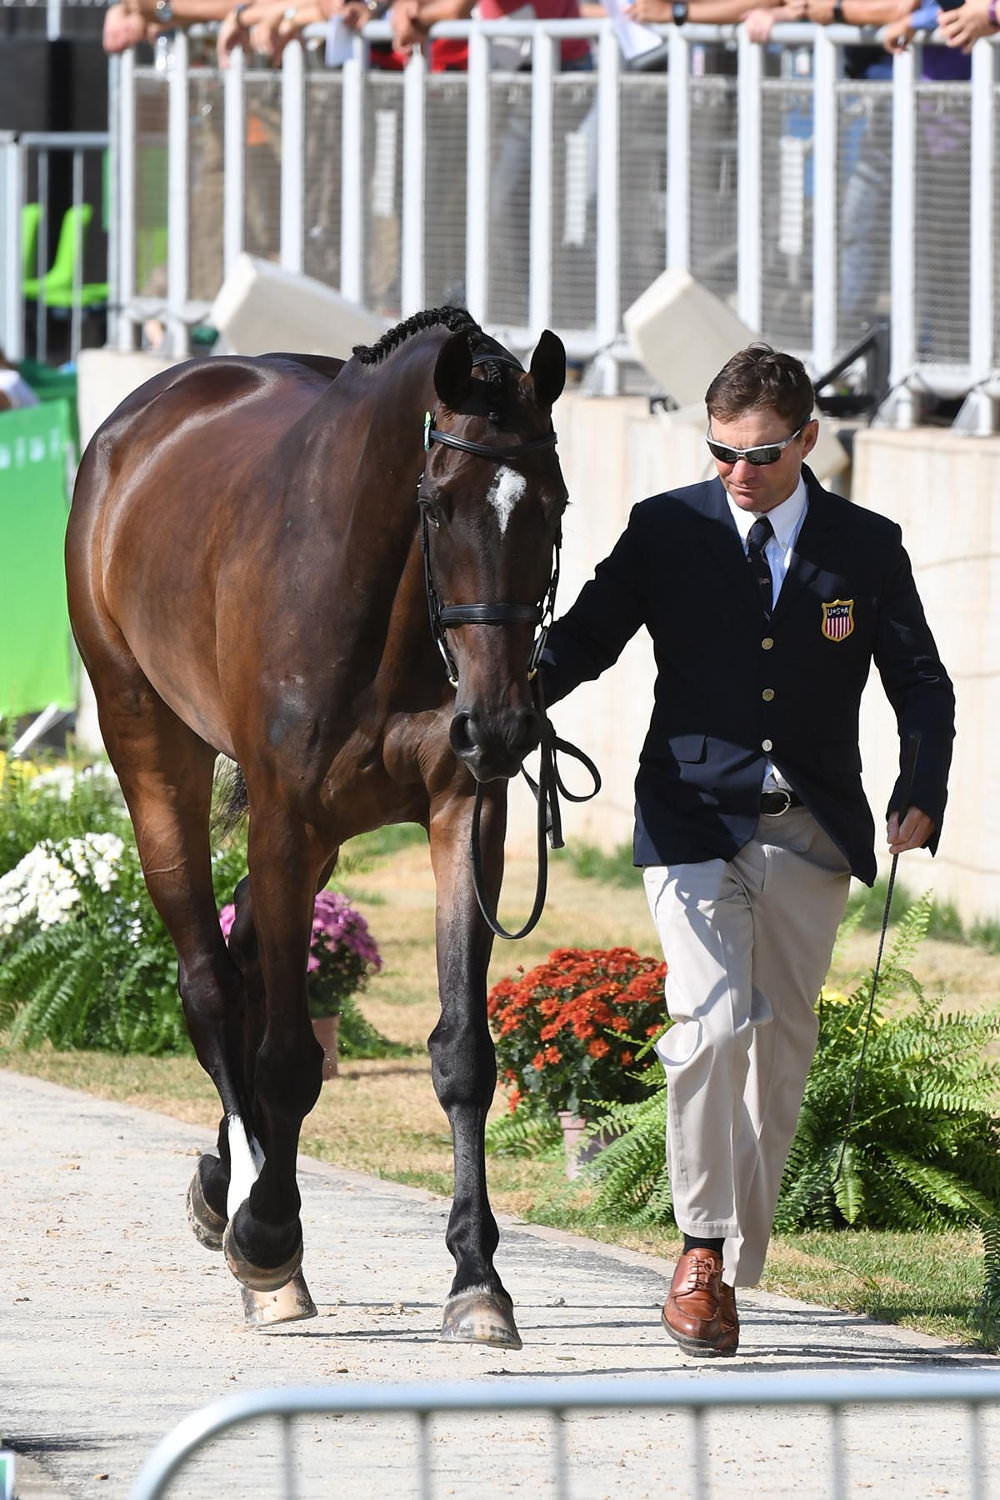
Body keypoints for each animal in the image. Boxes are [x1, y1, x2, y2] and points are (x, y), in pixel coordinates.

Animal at [66, 304, 569, 1350]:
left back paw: (227, 1181)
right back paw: (254, 1222)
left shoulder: (464, 814)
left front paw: (477, 1278)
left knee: (248, 951)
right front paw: (268, 1238)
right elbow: (290, 1057)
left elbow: (463, 1054)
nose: (503, 725)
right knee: (214, 982)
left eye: (550, 504)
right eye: (441, 504)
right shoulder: (286, 817)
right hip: (151, 749)